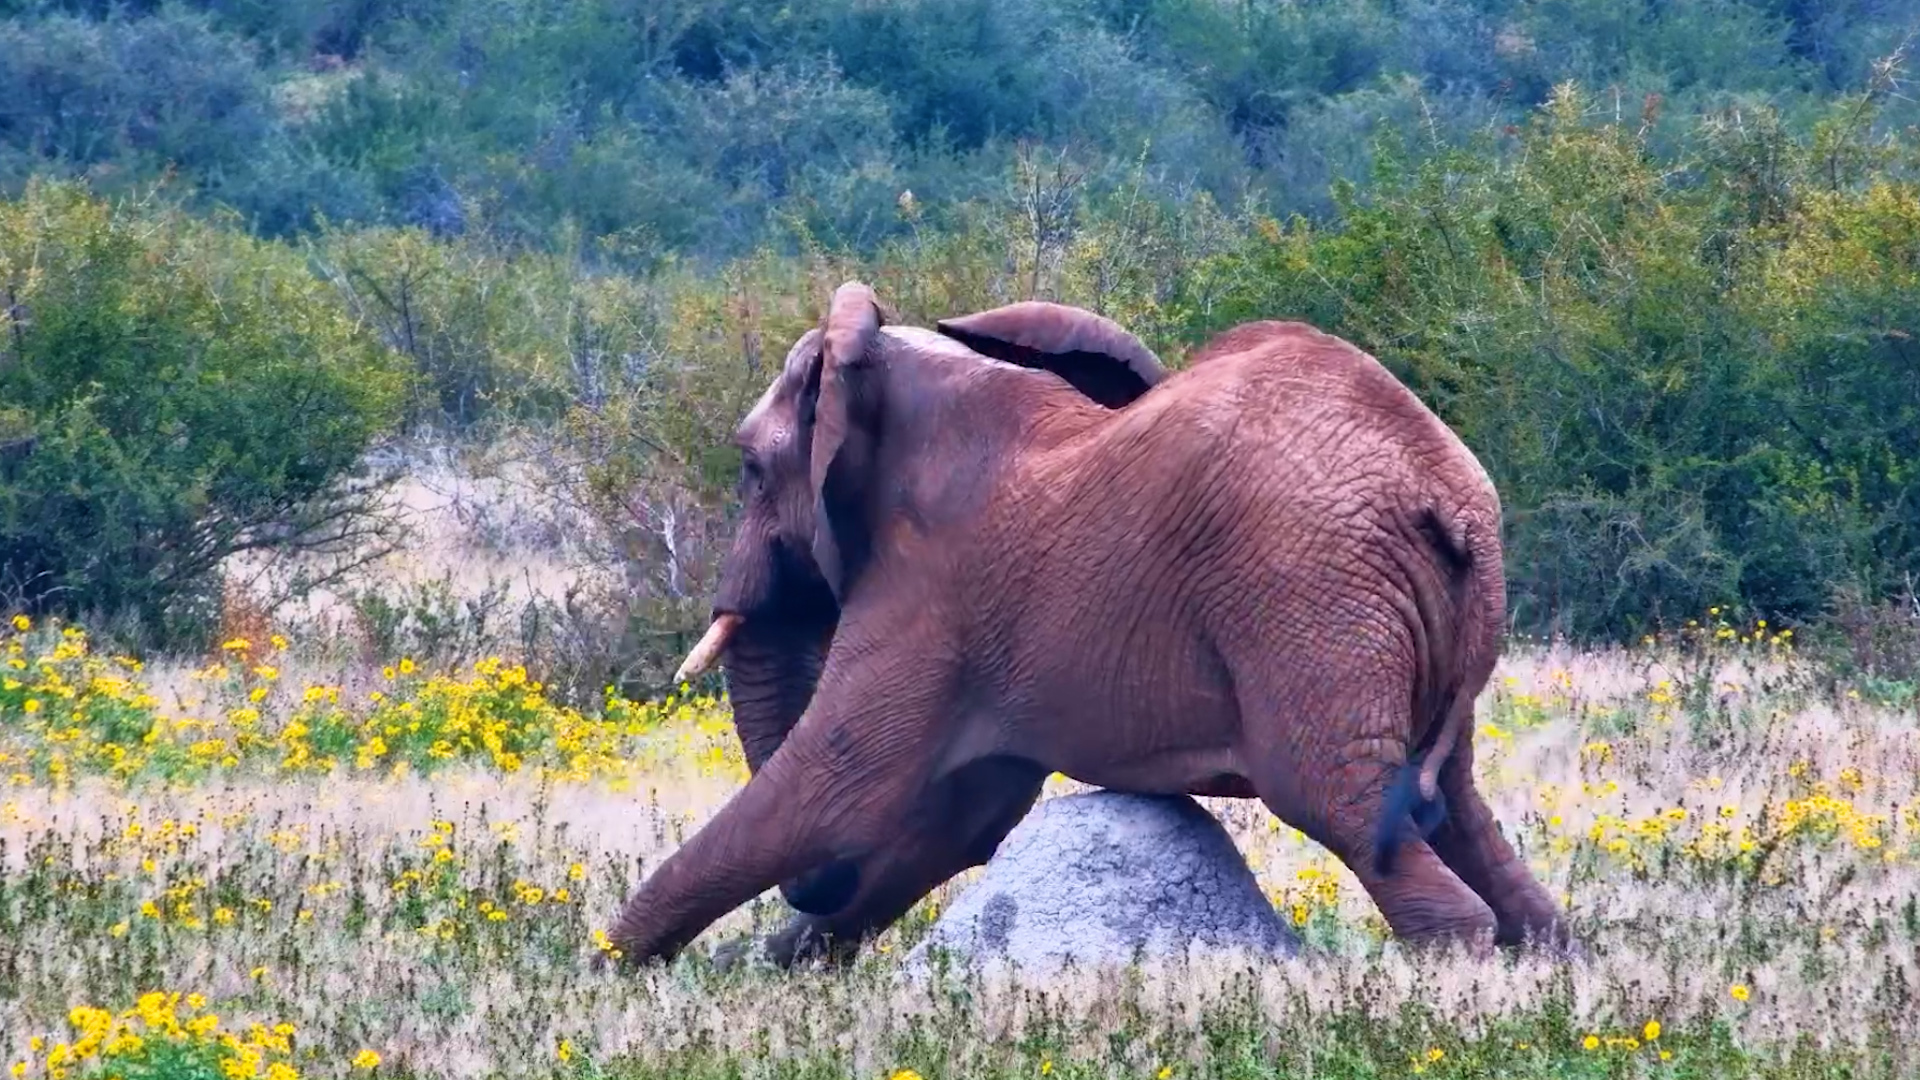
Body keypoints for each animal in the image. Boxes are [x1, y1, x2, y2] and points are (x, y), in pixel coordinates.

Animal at [598, 281, 1567, 972]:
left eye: (750, 470)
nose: (809, 905)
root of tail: (1447, 495)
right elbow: (959, 817)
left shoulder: (931, 589)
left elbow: (839, 789)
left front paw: (607, 967)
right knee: (1457, 812)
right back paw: (1549, 953)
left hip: (1309, 597)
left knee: (1341, 802)